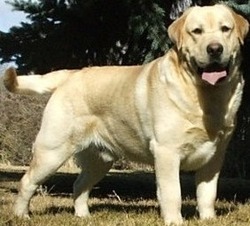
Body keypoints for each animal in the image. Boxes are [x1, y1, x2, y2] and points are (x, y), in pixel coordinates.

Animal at [2, 3, 249, 226]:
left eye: (225, 29)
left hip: (100, 159)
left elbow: (207, 193)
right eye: (196, 31)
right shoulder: (167, 152)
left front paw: (208, 219)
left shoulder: (215, 156)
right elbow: (172, 193)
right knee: (27, 182)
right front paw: (174, 221)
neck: (207, 97)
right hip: (52, 150)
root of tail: (71, 74)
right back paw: (21, 215)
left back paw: (83, 216)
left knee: (79, 186)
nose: (215, 49)